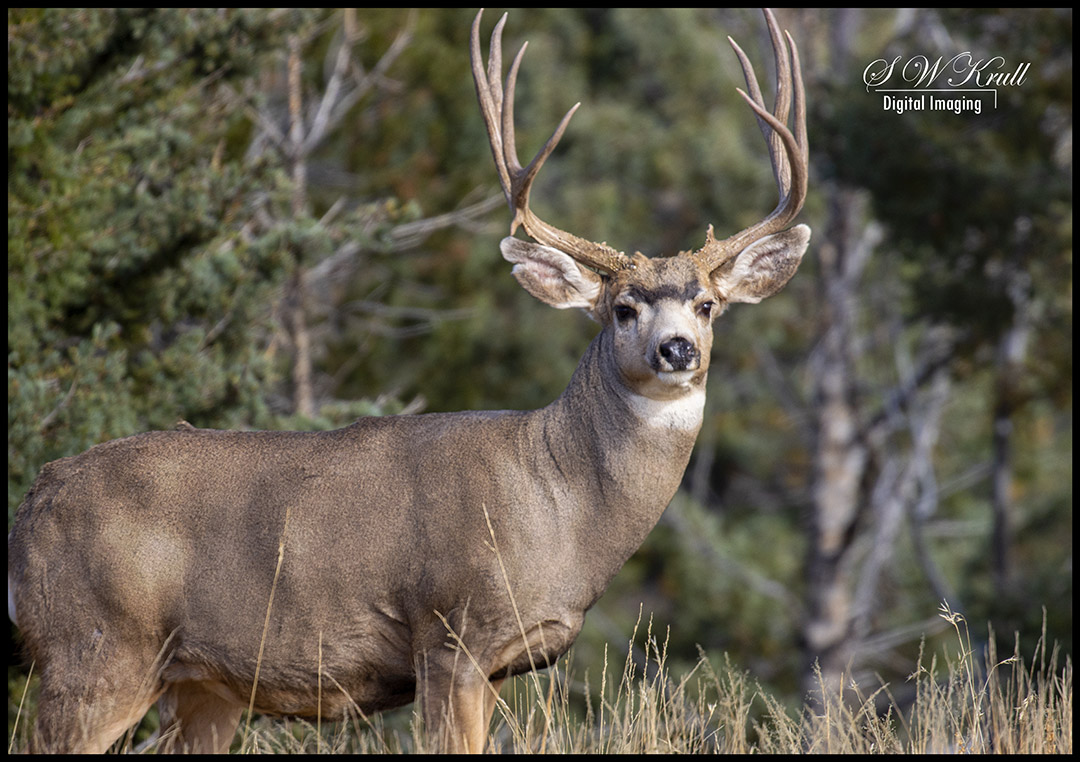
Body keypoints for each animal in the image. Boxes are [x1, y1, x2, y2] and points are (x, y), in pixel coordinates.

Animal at [8, 8, 809, 754]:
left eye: (707, 304)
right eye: (623, 308)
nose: (677, 349)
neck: (559, 501)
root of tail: (33, 500)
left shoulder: (496, 662)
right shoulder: (451, 631)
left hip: (202, 680)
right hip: (95, 646)